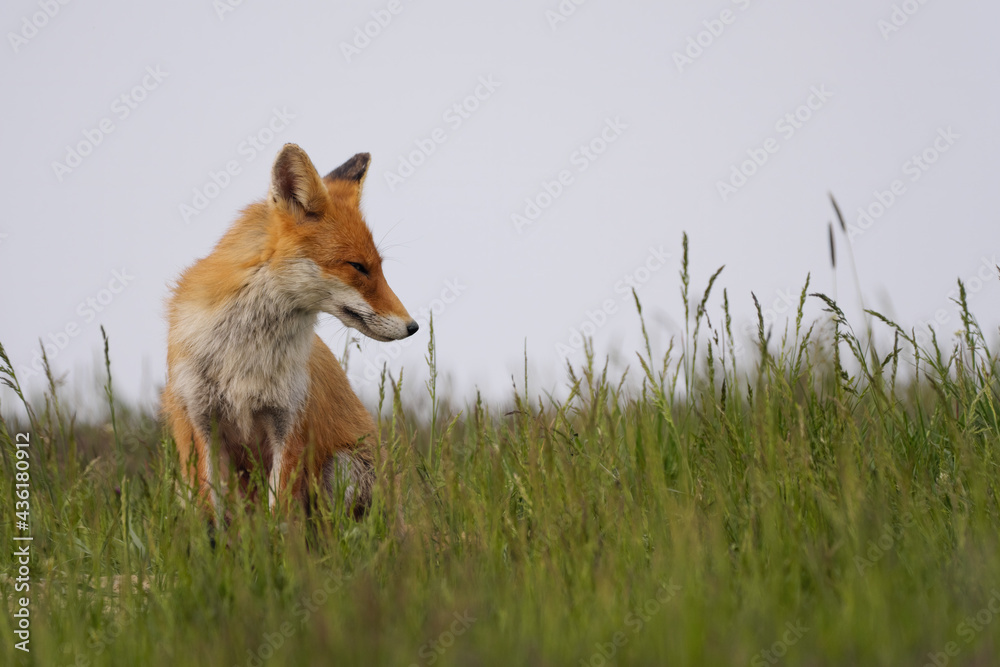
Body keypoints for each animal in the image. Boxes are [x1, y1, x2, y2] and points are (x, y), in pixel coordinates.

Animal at [161, 143, 417, 521]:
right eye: (358, 267)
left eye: (379, 267)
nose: (413, 326)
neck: (245, 354)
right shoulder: (201, 421)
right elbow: (211, 513)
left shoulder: (289, 421)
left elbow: (280, 513)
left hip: (343, 465)